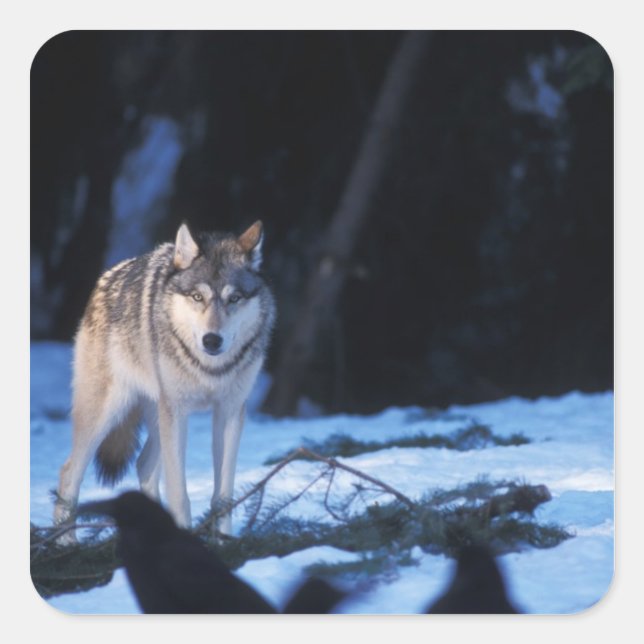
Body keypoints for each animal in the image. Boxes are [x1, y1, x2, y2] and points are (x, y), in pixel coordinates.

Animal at [53, 220, 275, 540]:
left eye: (234, 299)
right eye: (198, 297)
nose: (211, 340)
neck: (209, 368)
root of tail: (106, 277)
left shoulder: (230, 412)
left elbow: (223, 495)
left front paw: (224, 542)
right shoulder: (178, 411)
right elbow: (179, 493)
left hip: (159, 417)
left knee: (143, 464)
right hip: (110, 413)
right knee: (68, 473)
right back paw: (65, 544)